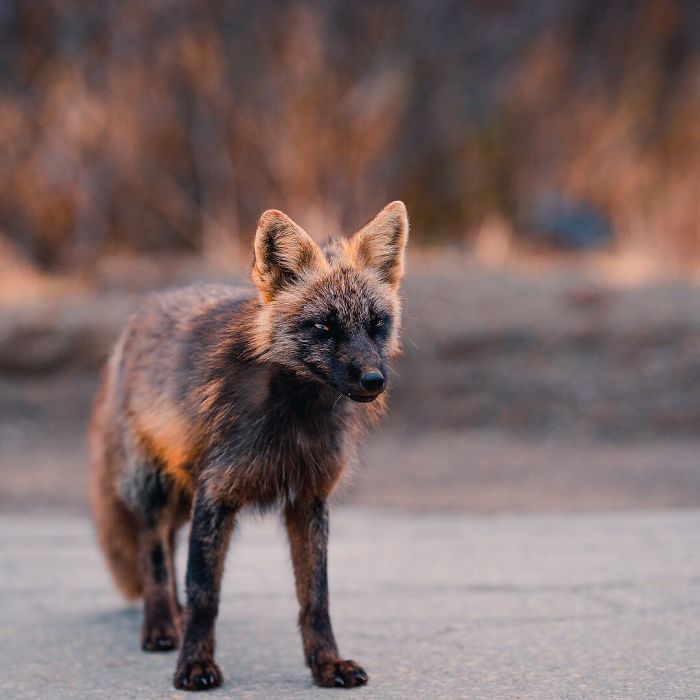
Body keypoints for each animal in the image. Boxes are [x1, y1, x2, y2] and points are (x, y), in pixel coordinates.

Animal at [91, 200, 412, 692]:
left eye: (378, 325)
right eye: (324, 327)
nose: (374, 380)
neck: (294, 419)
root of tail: (141, 312)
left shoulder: (308, 499)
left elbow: (315, 598)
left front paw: (326, 664)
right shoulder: (216, 494)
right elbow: (204, 593)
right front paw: (194, 665)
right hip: (155, 491)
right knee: (155, 555)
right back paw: (162, 625)